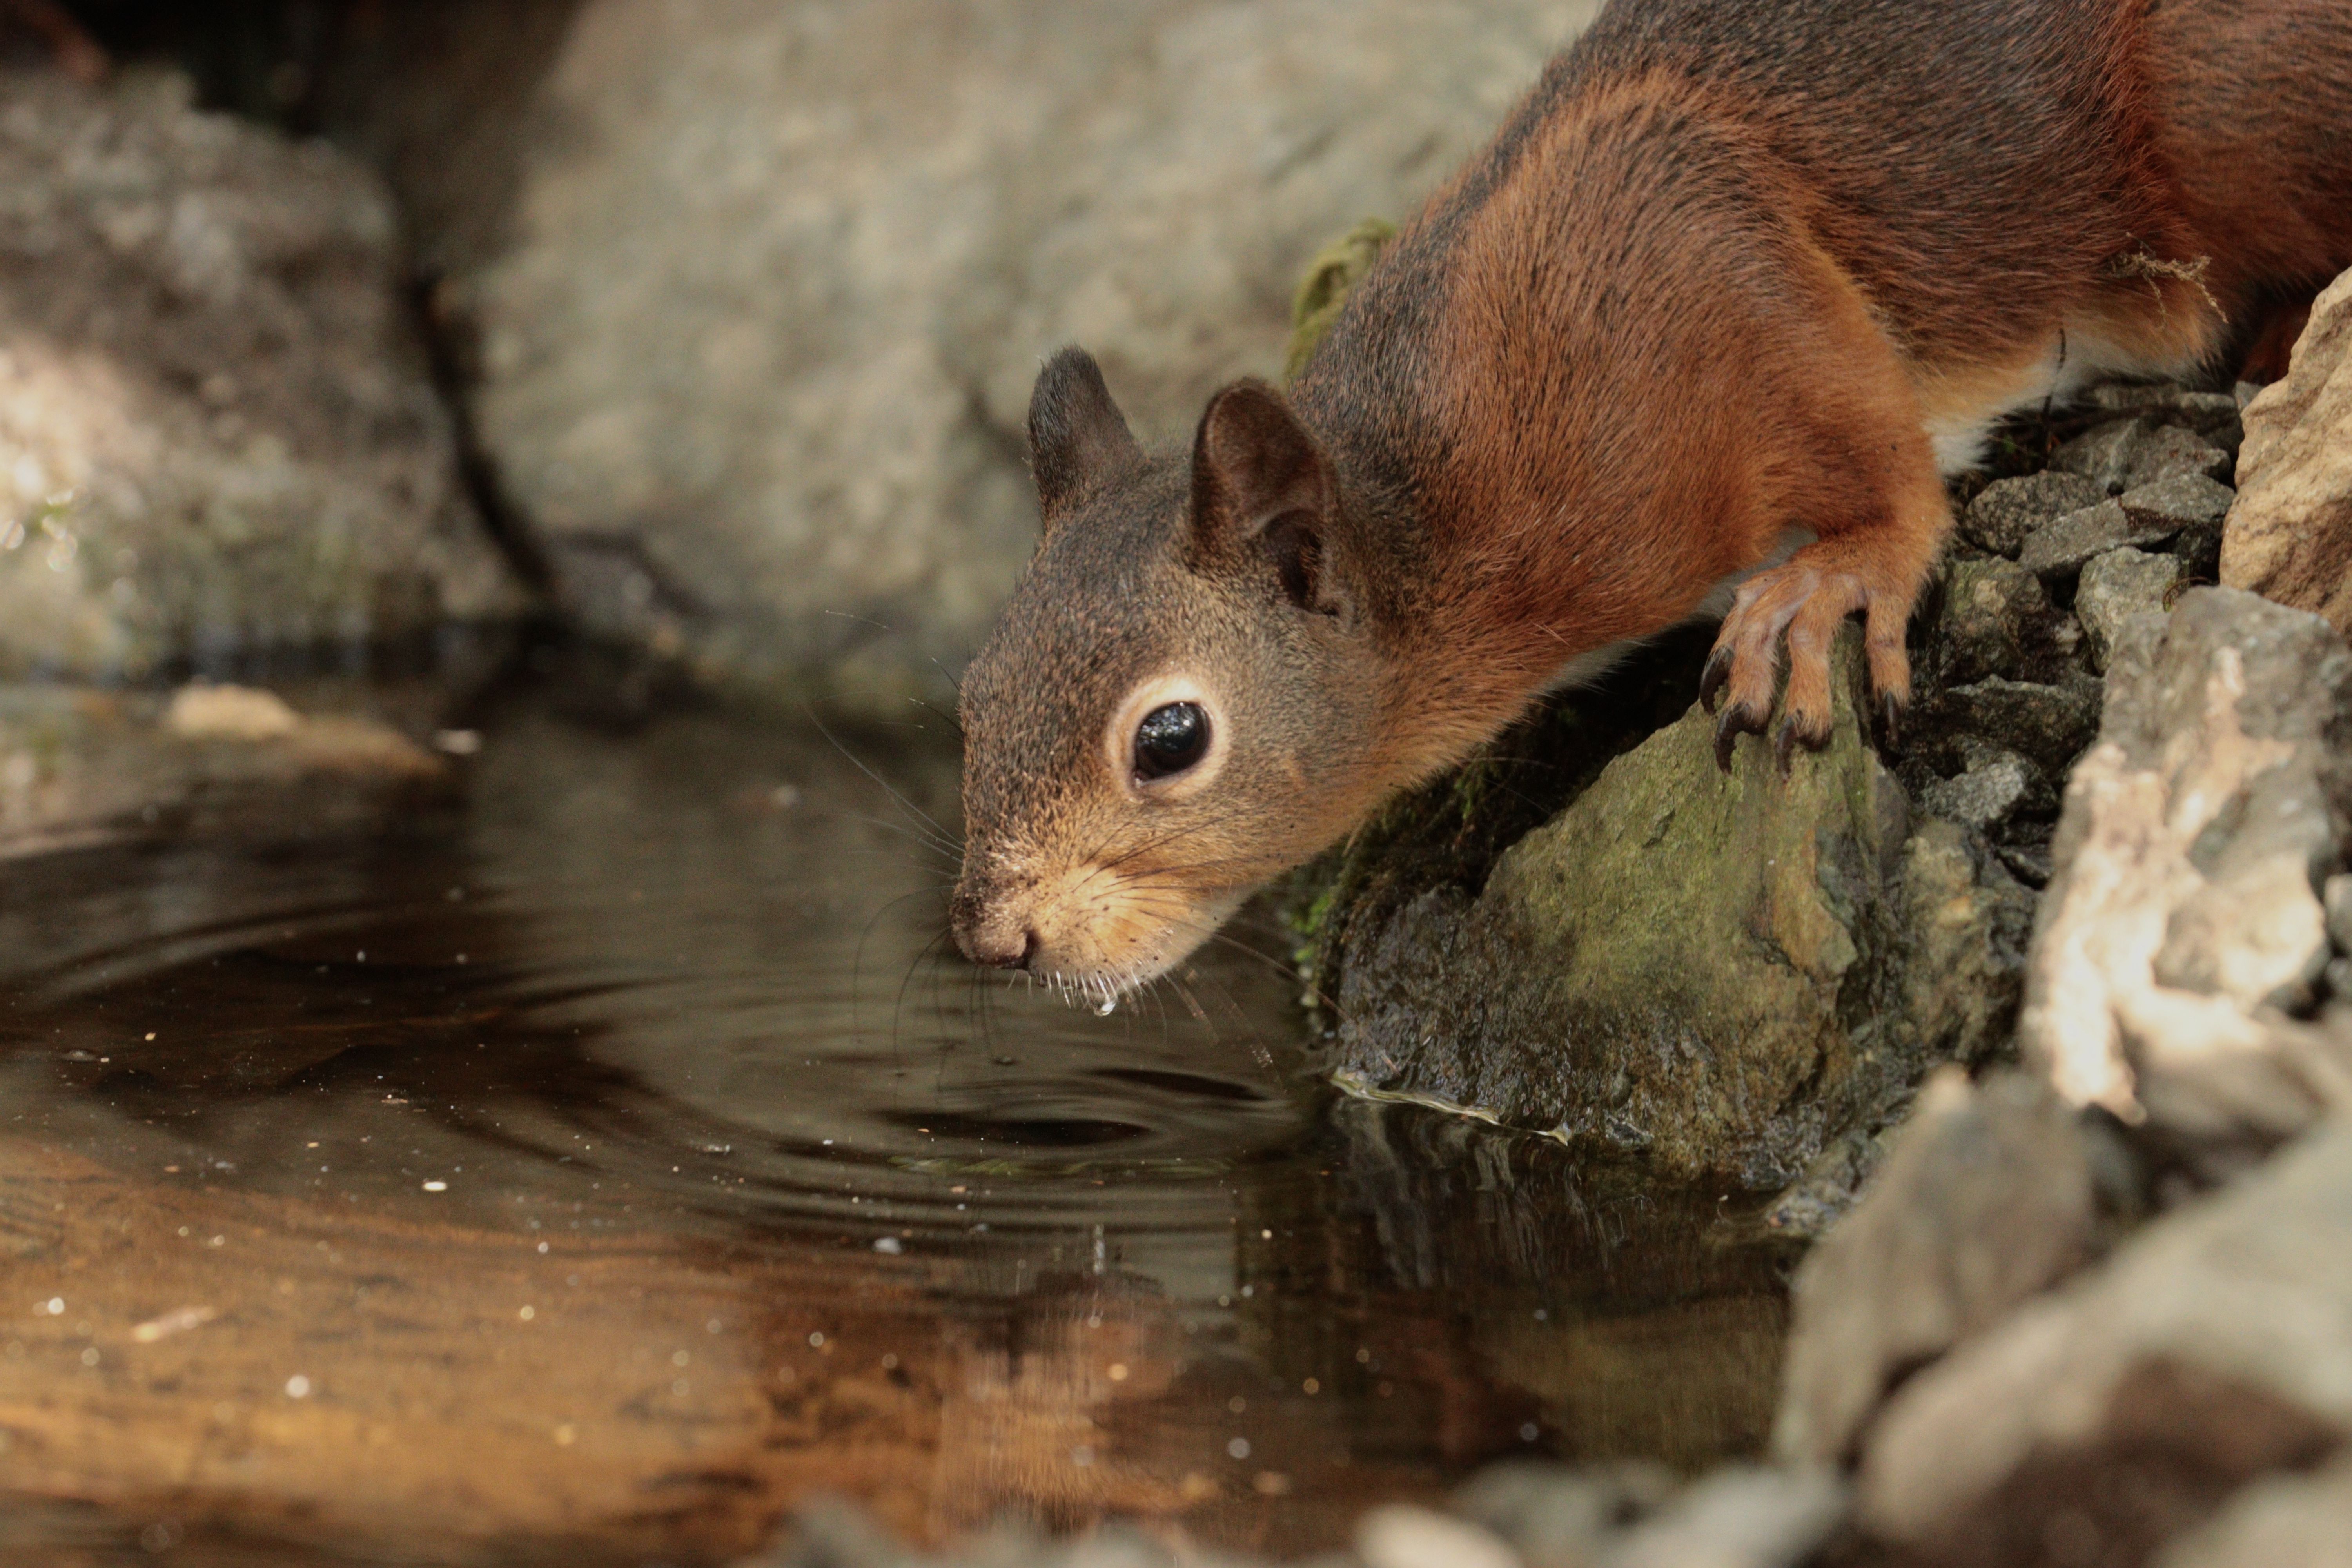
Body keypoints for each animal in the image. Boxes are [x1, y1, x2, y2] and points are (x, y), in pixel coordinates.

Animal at [950, 0, 2352, 998]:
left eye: (1169, 739)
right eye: (969, 697)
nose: (994, 941)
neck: (1440, 508)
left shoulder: (1687, 243)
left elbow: (1874, 453)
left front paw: (1832, 580)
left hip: (2226, 96)